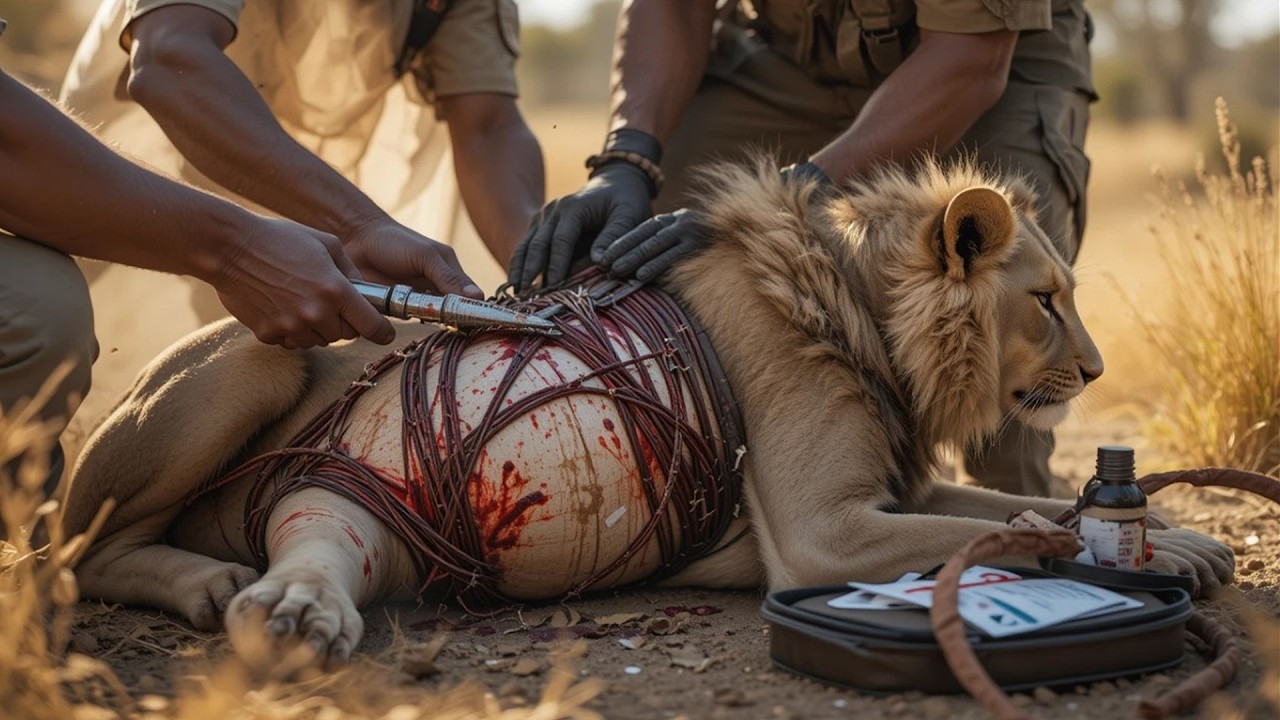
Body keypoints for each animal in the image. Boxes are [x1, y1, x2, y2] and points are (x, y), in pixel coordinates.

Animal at [62, 158, 1234, 666]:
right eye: (1045, 300)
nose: (1094, 370)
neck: (858, 307)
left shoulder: (892, 487)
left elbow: (1000, 505)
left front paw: (1178, 537)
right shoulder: (822, 534)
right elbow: (1008, 528)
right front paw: (1155, 554)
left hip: (360, 525)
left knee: (317, 539)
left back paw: (288, 609)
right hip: (253, 359)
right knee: (76, 552)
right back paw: (215, 589)